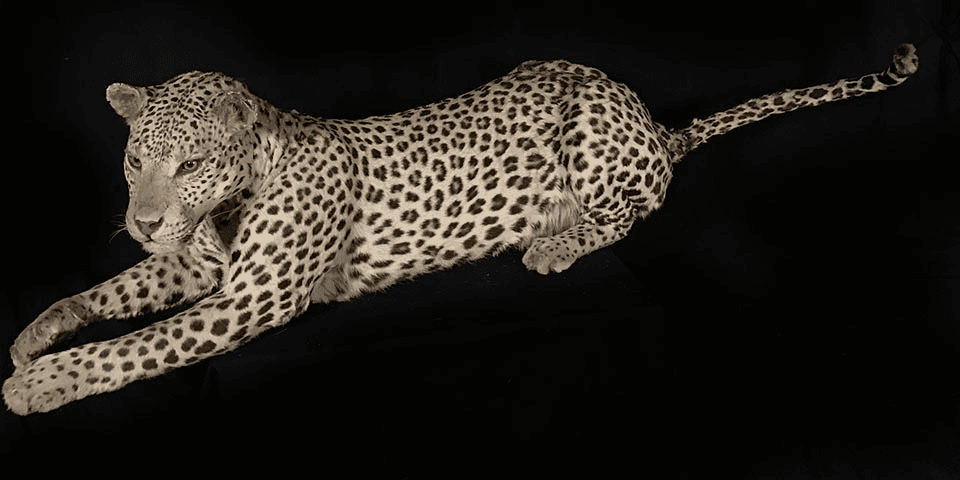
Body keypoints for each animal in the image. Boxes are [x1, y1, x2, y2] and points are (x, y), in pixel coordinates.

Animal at [3, 43, 918, 415]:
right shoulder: (196, 270)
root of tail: (652, 121)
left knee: (633, 210)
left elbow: (135, 346)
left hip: (591, 132)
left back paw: (553, 240)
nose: (145, 218)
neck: (226, 204)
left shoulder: (248, 298)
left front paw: (39, 383)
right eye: (134, 161)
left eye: (190, 162)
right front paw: (35, 334)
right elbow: (110, 293)